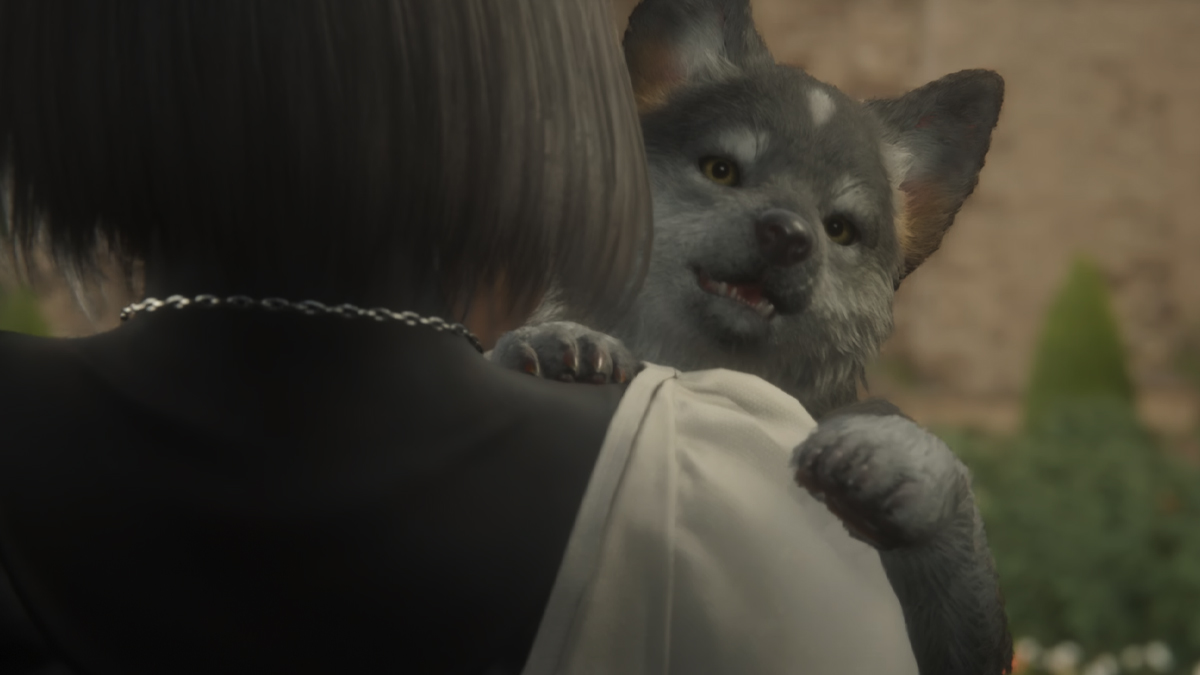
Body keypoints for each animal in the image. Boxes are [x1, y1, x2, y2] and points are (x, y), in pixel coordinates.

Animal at [490, 0, 1011, 673]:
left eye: (840, 230)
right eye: (721, 170)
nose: (789, 235)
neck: (700, 372)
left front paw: (900, 458)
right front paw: (559, 340)